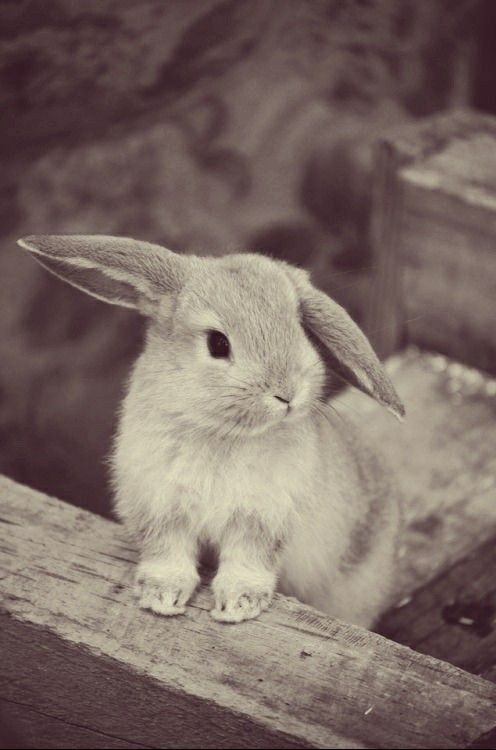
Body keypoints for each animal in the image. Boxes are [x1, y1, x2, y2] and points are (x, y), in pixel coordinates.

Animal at [17, 234, 404, 628]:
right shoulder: (161, 509)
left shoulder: (261, 521)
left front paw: (237, 606)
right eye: (218, 343)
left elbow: (247, 562)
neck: (224, 430)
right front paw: (162, 597)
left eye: (300, 330)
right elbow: (168, 554)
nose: (287, 394)